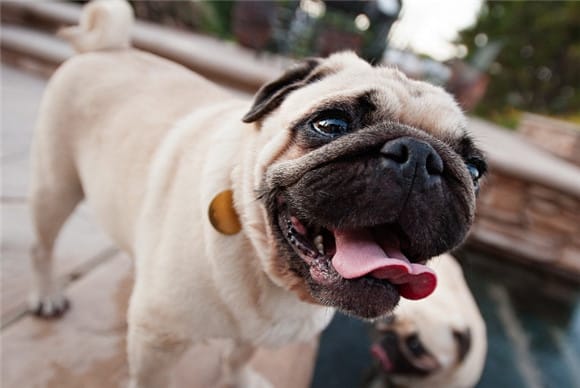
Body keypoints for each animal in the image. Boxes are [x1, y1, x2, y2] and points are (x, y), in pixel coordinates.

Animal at [29, 1, 488, 386]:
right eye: (331, 124)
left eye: (474, 169)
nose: (420, 155)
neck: (267, 268)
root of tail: (109, 47)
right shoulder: (158, 342)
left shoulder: (251, 338)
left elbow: (237, 358)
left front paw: (238, 379)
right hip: (56, 186)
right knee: (42, 245)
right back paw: (47, 295)